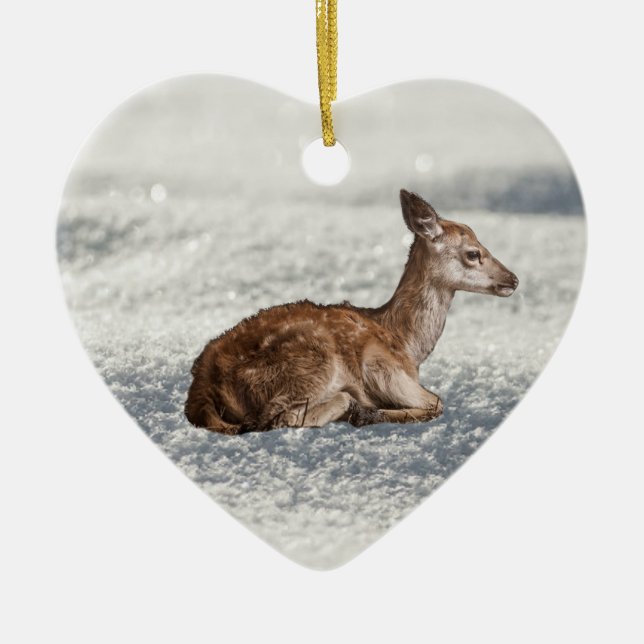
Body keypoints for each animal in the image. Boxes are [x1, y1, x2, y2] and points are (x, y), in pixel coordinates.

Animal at [185, 189, 519, 435]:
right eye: (473, 253)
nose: (513, 279)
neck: (407, 346)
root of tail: (202, 388)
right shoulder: (381, 366)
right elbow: (437, 402)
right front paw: (371, 412)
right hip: (312, 364)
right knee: (279, 418)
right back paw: (357, 410)